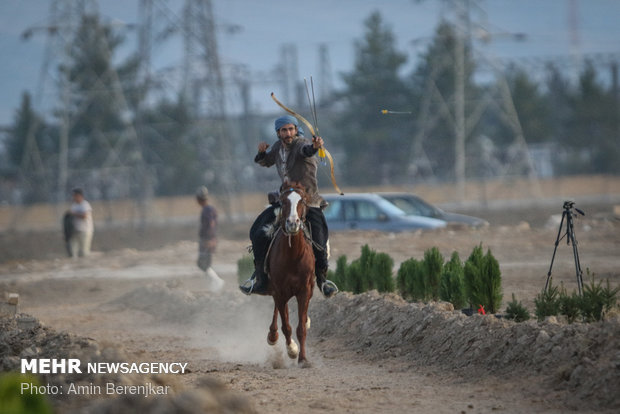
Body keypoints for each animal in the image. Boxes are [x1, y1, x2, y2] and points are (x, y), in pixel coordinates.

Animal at [266, 181, 314, 366]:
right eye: (283, 201)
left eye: (303, 201)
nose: (293, 223)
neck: (293, 256)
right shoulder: (279, 291)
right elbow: (286, 326)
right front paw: (292, 350)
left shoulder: (304, 290)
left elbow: (300, 328)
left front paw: (303, 359)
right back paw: (272, 335)